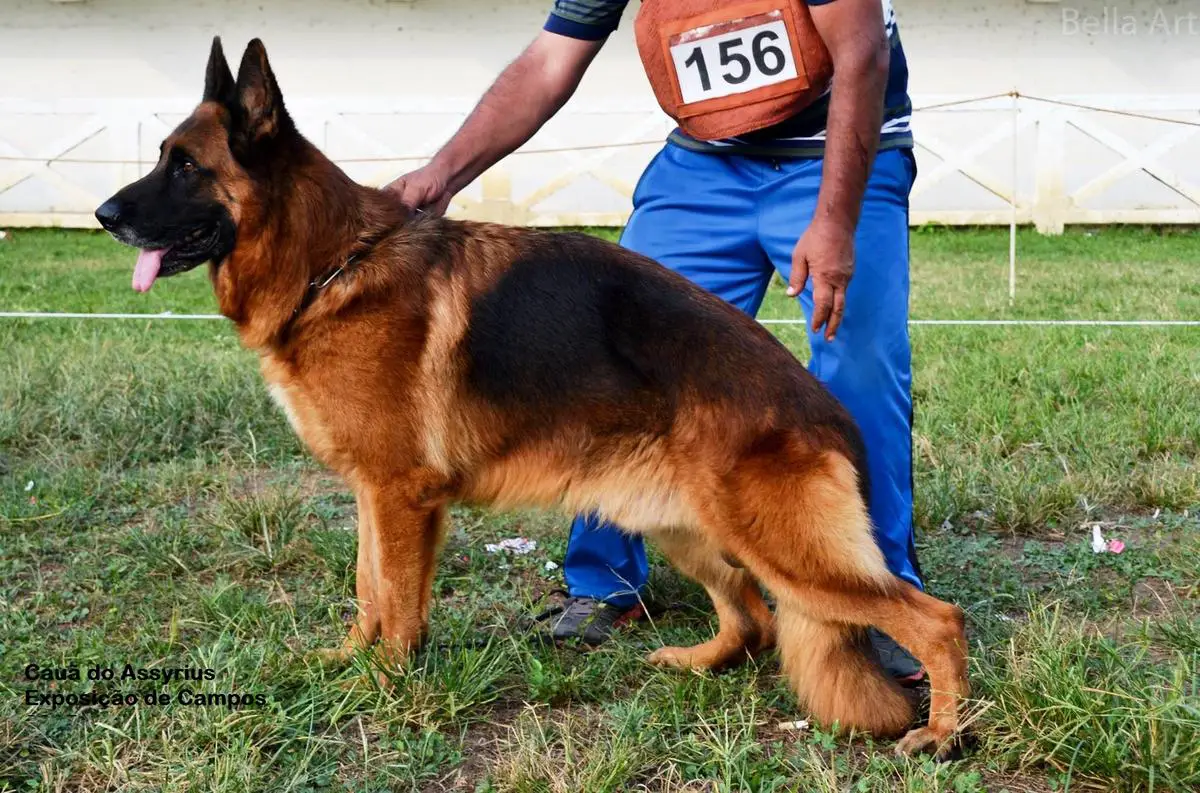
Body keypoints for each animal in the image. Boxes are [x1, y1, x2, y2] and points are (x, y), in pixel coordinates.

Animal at [98, 40, 969, 758]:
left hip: (782, 549)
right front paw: (348, 658)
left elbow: (396, 597)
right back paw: (695, 662)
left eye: (184, 166)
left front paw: (383, 681)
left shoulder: (401, 495)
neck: (329, 263)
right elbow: (368, 585)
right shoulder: (373, 494)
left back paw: (941, 733)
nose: (105, 214)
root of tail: (828, 415)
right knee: (754, 619)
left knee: (935, 617)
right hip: (683, 526)